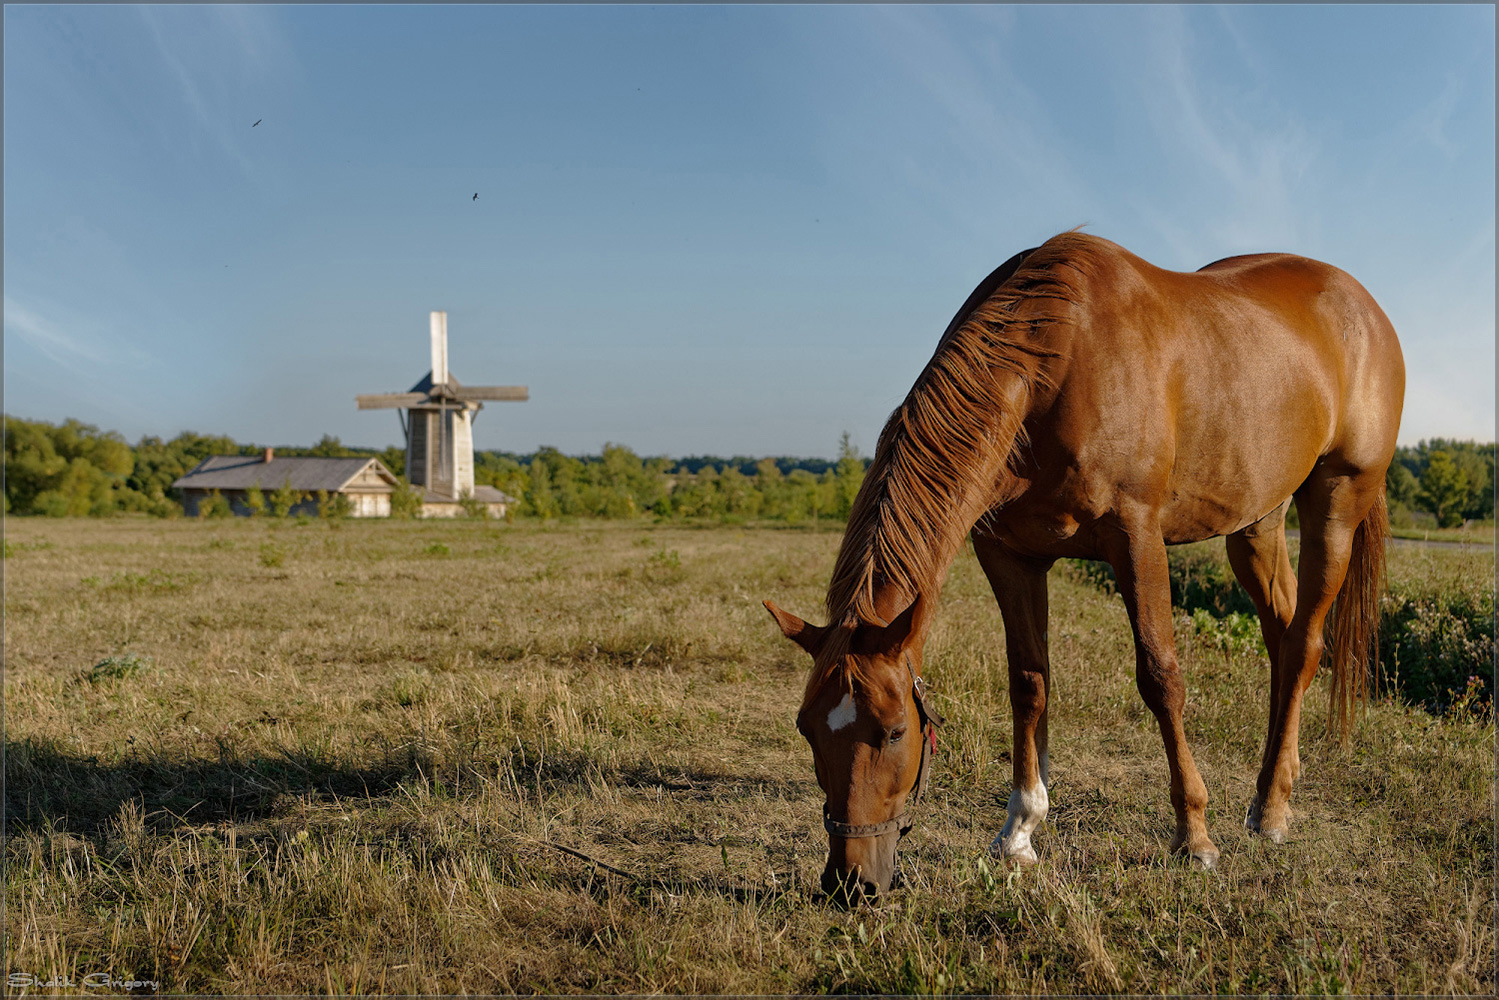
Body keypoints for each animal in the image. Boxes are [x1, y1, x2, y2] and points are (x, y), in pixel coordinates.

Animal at [773, 232, 1403, 899]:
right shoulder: (1011, 555)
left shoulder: (1136, 536)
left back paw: (1275, 813)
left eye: (894, 731)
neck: (1056, 364)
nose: (849, 882)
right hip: (1255, 523)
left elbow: (1160, 677)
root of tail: (1364, 307)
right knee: (1282, 640)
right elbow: (1029, 682)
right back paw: (1272, 792)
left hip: (1337, 503)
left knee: (1306, 642)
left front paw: (1194, 835)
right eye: (806, 727)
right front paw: (1019, 831)